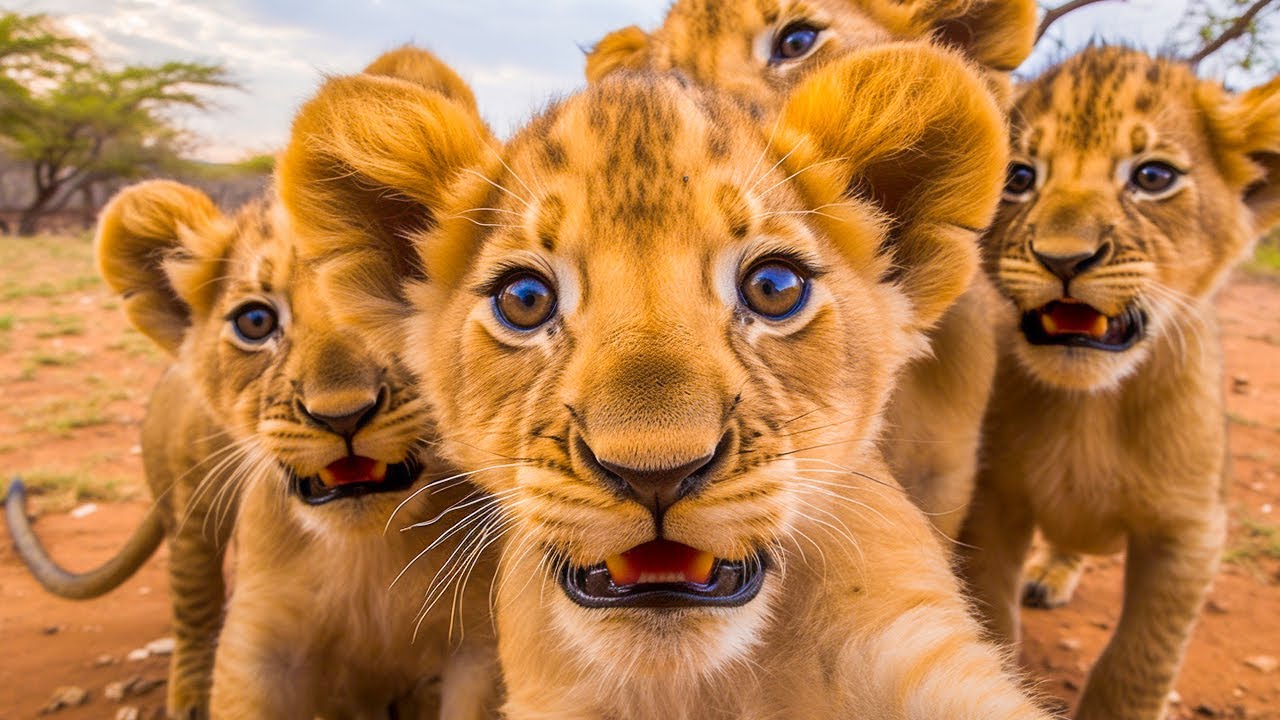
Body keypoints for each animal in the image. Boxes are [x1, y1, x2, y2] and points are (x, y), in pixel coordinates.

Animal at [959, 46, 1280, 720]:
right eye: (1019, 177)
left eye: (1153, 177)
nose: (1064, 258)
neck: (1091, 409)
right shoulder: (993, 501)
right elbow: (993, 617)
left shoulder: (1191, 531)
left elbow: (1138, 663)